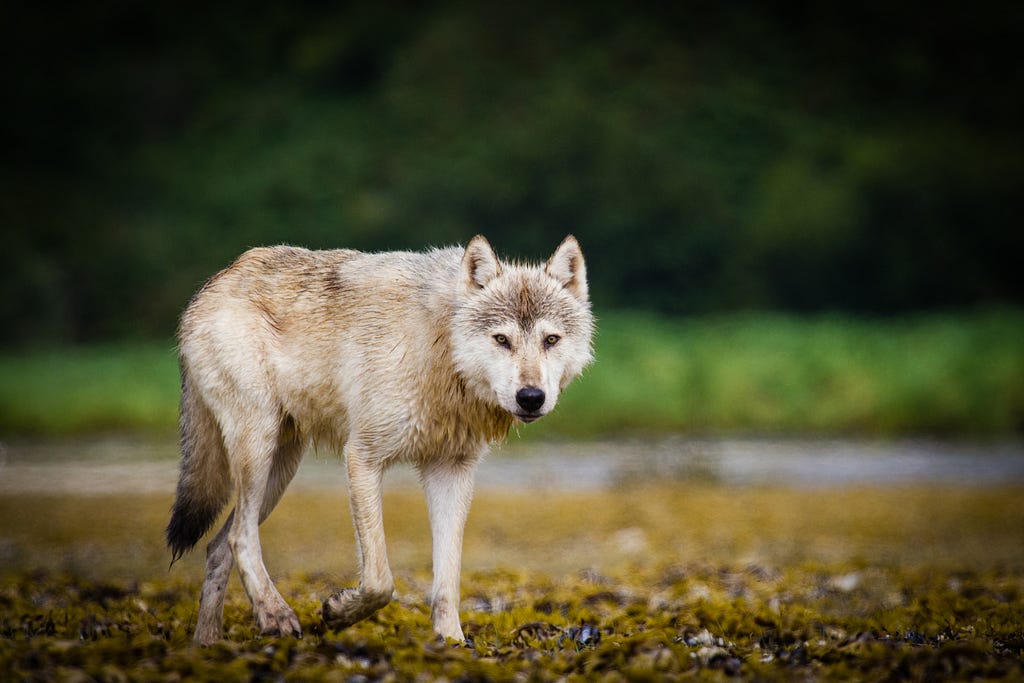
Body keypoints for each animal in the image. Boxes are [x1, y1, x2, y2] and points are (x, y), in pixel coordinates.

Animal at [160, 236, 593, 647]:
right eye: (502, 339)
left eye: (551, 340)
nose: (531, 397)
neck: (439, 348)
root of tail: (214, 283)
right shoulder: (362, 457)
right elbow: (380, 581)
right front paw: (338, 612)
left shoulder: (451, 470)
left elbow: (447, 580)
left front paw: (451, 640)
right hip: (258, 450)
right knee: (240, 537)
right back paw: (274, 615)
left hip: (280, 469)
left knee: (218, 547)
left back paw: (208, 643)